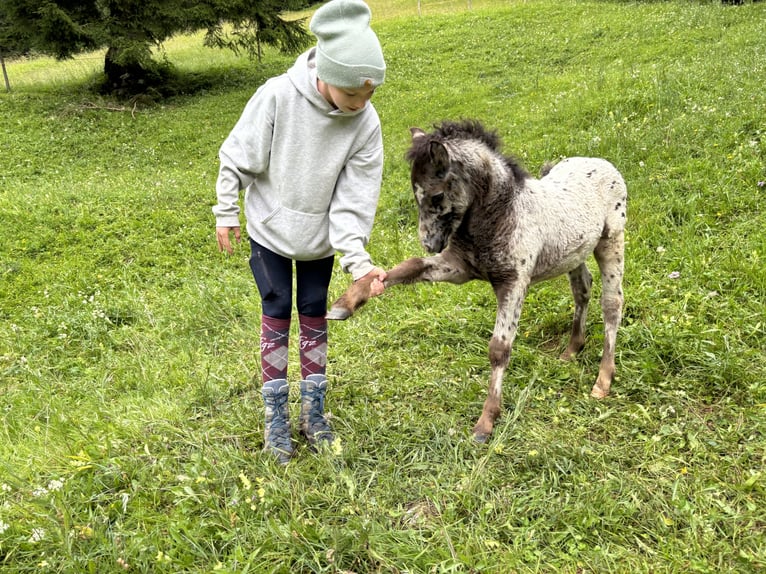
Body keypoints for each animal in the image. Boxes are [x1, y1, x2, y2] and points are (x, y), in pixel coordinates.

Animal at [328, 121, 628, 444]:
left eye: (436, 196)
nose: (429, 243)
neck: (500, 215)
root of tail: (600, 161)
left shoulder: (513, 282)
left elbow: (499, 349)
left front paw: (486, 423)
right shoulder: (457, 267)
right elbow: (410, 266)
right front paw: (346, 303)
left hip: (611, 242)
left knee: (612, 304)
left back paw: (603, 380)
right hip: (573, 253)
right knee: (582, 289)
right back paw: (572, 349)